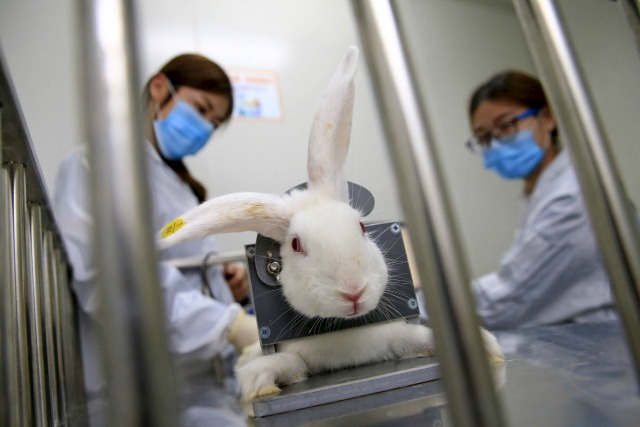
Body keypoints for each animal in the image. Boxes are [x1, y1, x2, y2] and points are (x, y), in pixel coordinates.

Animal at [156, 46, 504, 402]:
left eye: (362, 228)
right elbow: (282, 364)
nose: (353, 292)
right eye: (297, 245)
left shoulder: (397, 334)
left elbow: (419, 338)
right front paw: (258, 384)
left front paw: (489, 350)